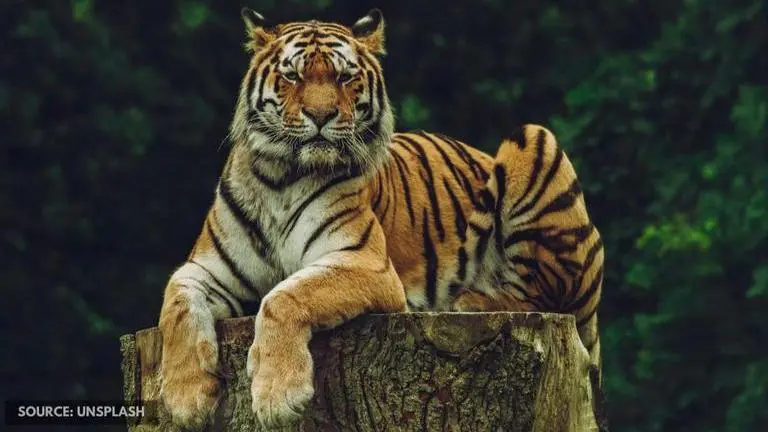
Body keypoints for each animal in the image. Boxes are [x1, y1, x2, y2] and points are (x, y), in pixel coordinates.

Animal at [157, 7, 604, 430]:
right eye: (292, 76)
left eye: (344, 77)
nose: (320, 115)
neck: (281, 178)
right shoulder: (206, 269)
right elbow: (176, 306)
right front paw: (185, 400)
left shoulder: (365, 262)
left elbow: (284, 296)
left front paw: (278, 396)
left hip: (534, 139)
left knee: (545, 293)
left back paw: (470, 299)